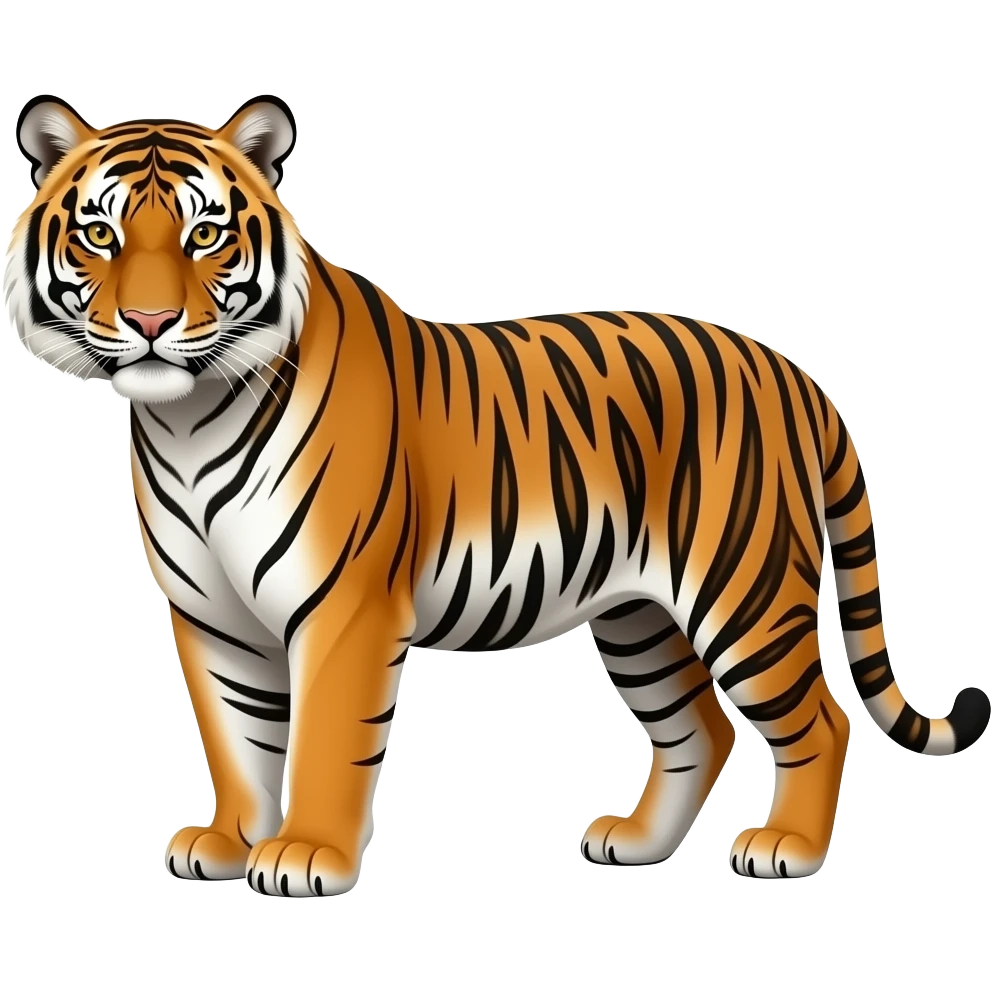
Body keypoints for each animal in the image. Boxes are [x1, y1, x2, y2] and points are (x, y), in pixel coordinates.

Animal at [4, 92, 989, 898]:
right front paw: (231, 842)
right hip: (639, 617)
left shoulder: (344, 607)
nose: (151, 323)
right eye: (100, 235)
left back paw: (787, 847)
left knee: (820, 719)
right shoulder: (210, 617)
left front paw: (306, 856)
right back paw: (635, 845)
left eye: (205, 236)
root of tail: (790, 370)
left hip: (744, 593)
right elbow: (237, 738)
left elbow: (321, 738)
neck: (188, 421)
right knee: (699, 729)